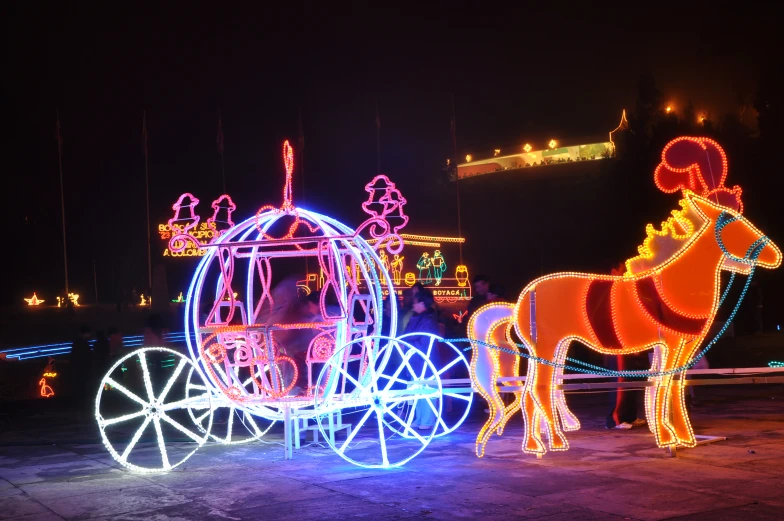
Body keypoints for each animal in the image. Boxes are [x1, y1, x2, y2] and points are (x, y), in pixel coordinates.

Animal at [468, 137, 780, 456]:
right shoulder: (670, 342)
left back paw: (541, 444)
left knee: (536, 390)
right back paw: (549, 444)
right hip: (545, 347)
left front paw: (683, 437)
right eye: (733, 224)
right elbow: (663, 383)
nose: (774, 254)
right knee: (539, 389)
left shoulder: (684, 345)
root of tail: (520, 300)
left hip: (555, 348)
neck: (677, 281)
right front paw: (668, 439)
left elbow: (672, 384)